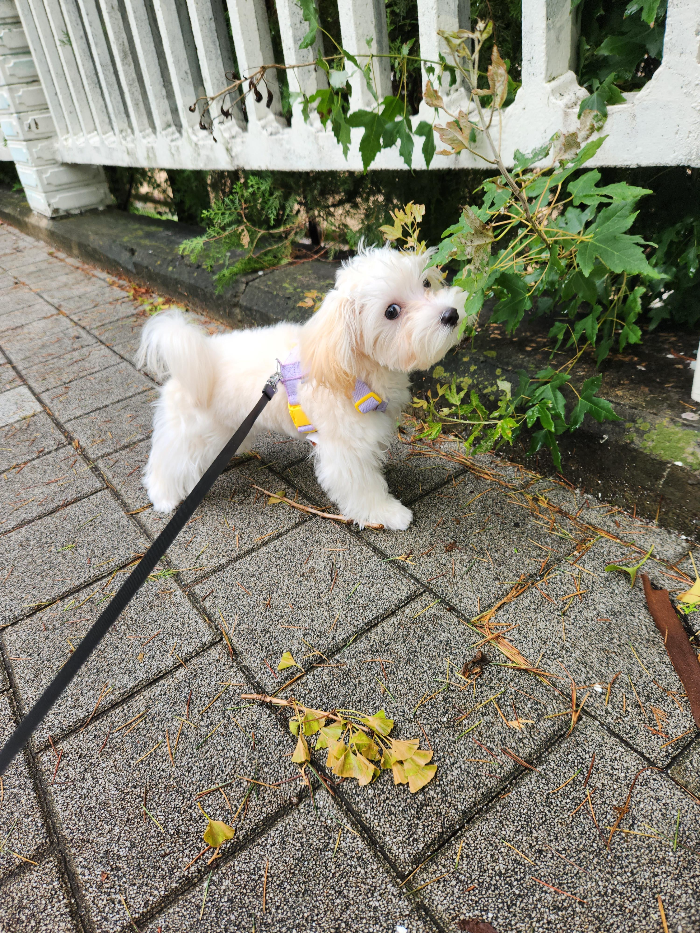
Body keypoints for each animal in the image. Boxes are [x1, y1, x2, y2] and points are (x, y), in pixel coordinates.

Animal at [136, 245, 468, 530]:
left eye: (425, 282)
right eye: (391, 311)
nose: (451, 314)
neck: (352, 368)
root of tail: (199, 356)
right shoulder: (345, 447)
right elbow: (362, 487)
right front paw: (387, 513)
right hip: (189, 433)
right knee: (167, 462)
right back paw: (163, 497)